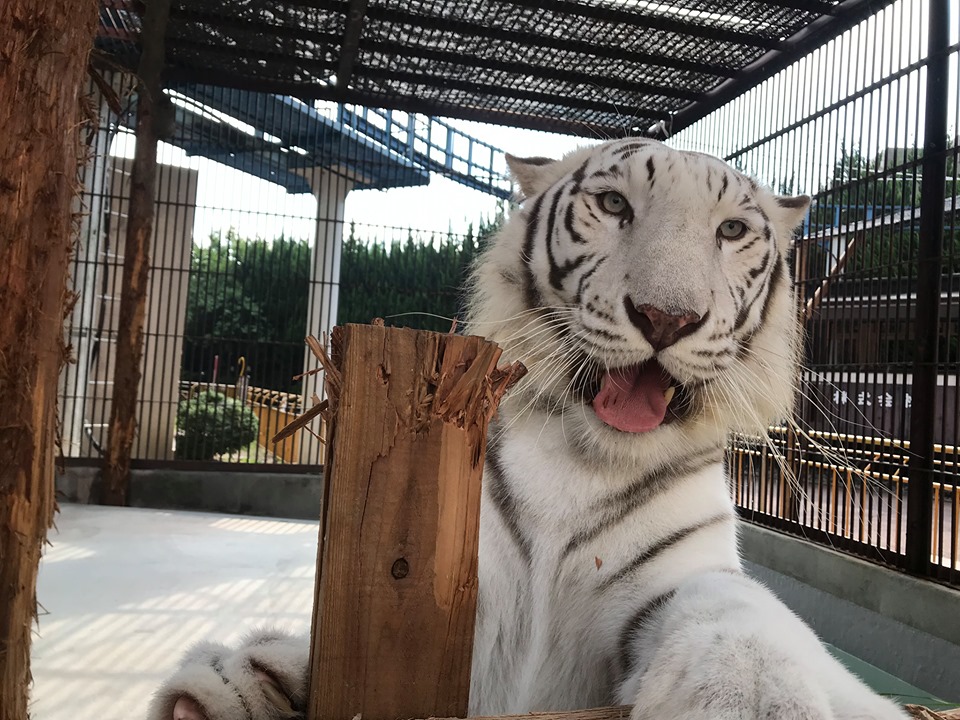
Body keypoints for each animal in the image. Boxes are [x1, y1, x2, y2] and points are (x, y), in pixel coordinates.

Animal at [152, 139, 908, 720]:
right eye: (614, 206)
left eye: (730, 232)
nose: (666, 317)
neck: (585, 459)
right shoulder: (459, 595)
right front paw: (252, 678)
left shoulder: (678, 575)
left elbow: (732, 610)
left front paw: (747, 698)